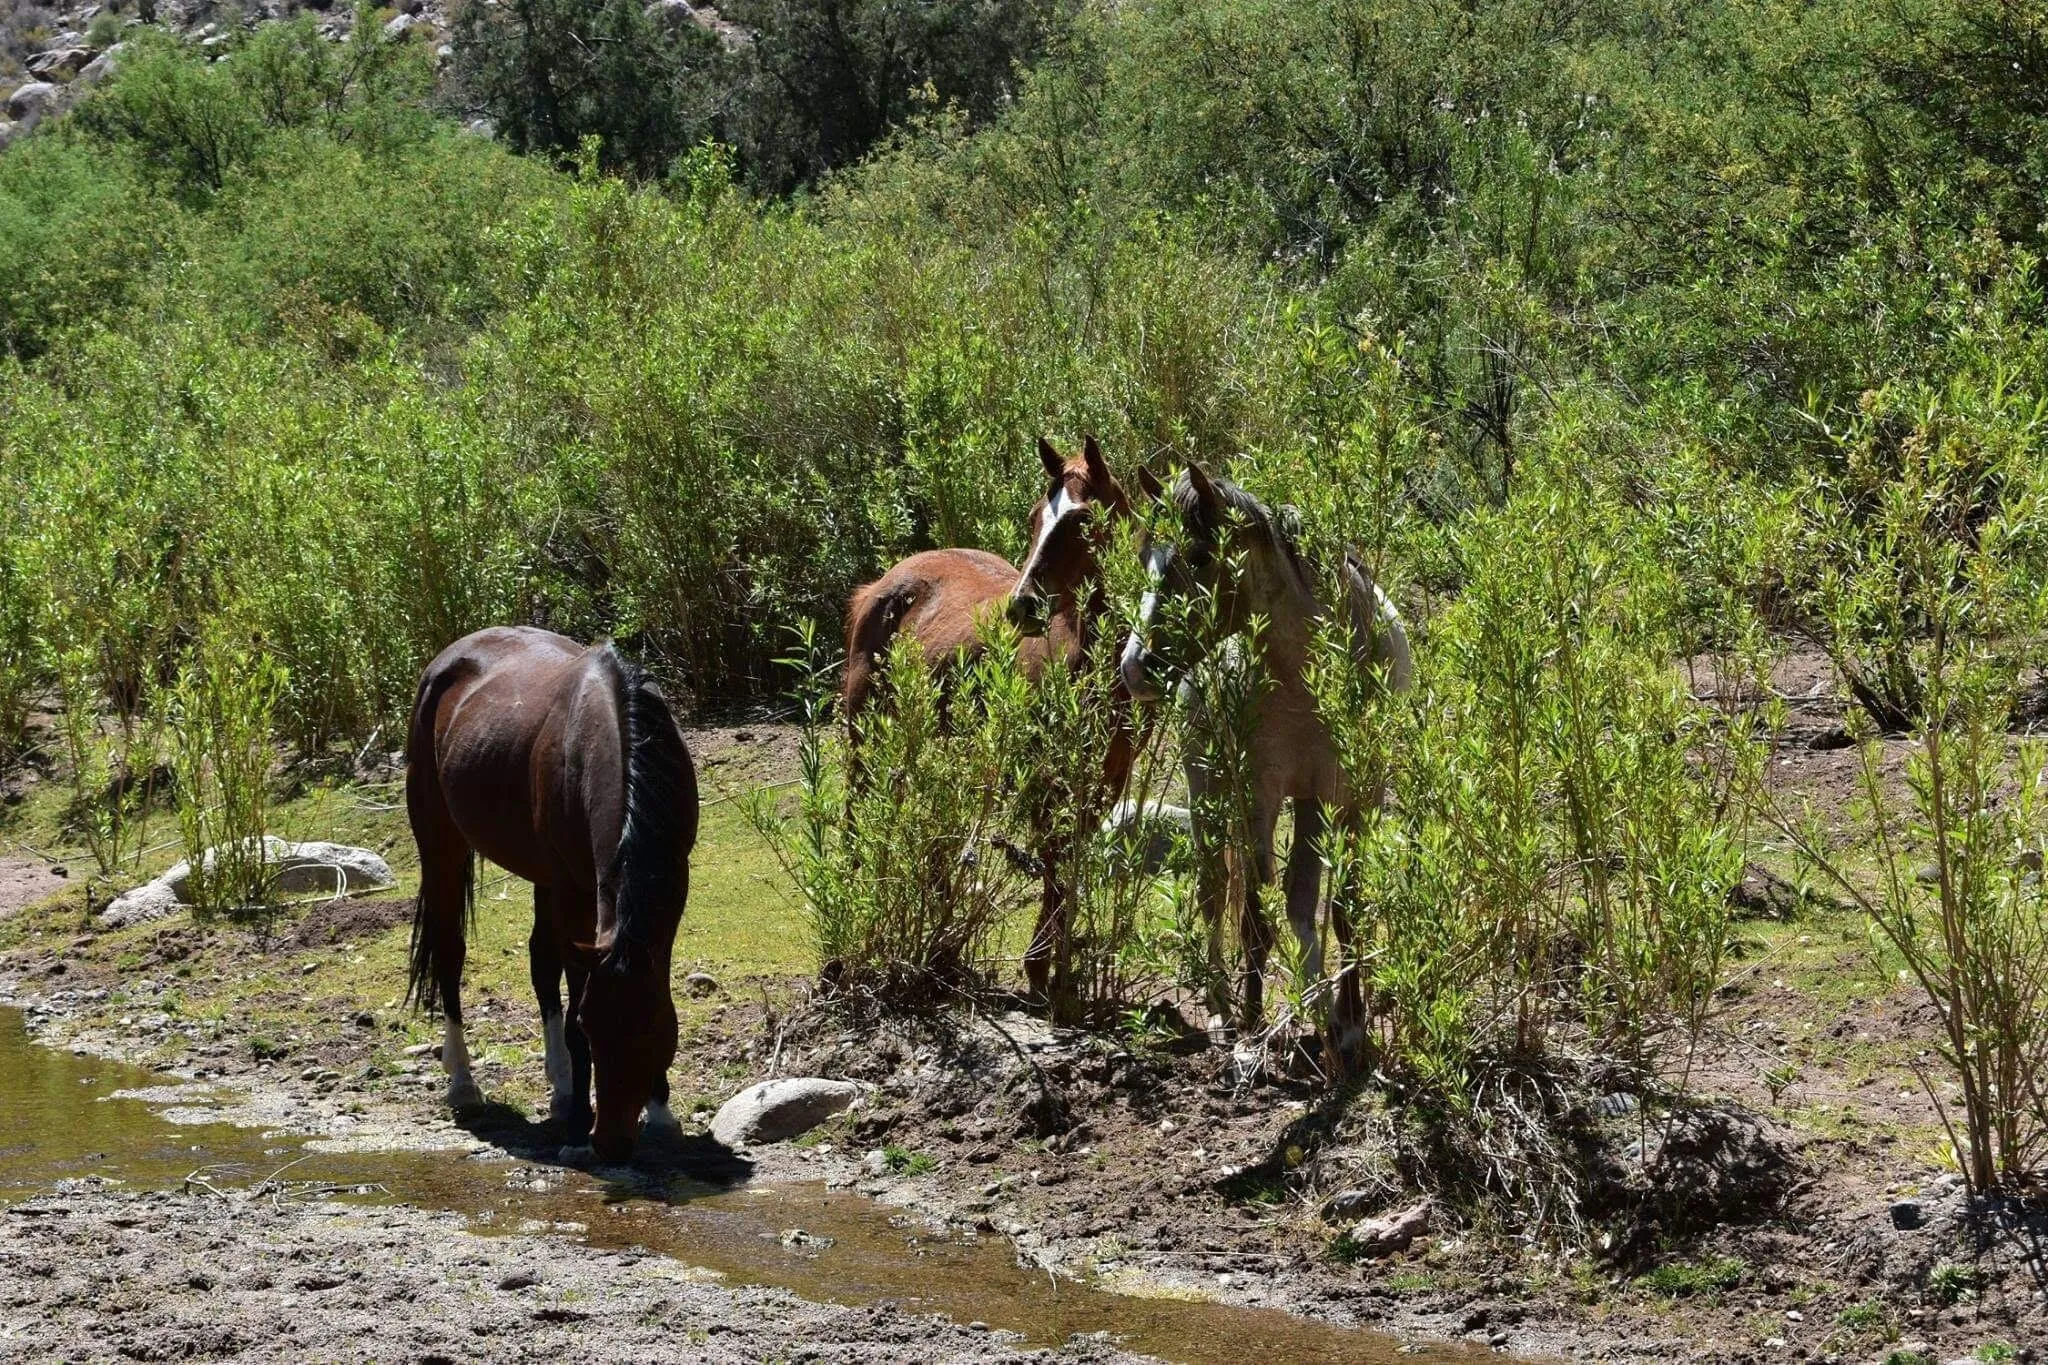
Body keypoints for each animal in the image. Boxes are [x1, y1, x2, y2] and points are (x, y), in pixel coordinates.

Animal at [405, 627, 699, 1162]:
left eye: (651, 1030)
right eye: (591, 1026)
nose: (612, 1143)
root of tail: (445, 661)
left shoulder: (672, 881)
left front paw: (661, 1113)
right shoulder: (573, 891)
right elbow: (573, 991)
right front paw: (582, 1118)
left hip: (539, 875)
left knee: (540, 961)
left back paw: (560, 1090)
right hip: (441, 846)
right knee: (451, 954)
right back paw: (464, 1084)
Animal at [842, 435, 1132, 999]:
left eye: (1082, 519)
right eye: (1035, 516)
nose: (1023, 607)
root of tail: (882, 586)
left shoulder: (1107, 777)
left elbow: (1072, 858)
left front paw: (1062, 970)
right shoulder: (1044, 777)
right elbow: (1054, 857)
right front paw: (1040, 970)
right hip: (864, 732)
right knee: (855, 813)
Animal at [1117, 464, 1412, 1072]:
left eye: (1200, 555)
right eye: (1145, 556)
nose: (1134, 667)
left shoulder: (1352, 795)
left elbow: (1343, 909)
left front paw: (1351, 1024)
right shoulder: (1262, 792)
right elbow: (1254, 914)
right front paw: (1254, 1030)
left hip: (1308, 802)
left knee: (1292, 901)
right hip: (1210, 785)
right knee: (1216, 890)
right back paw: (1224, 1008)